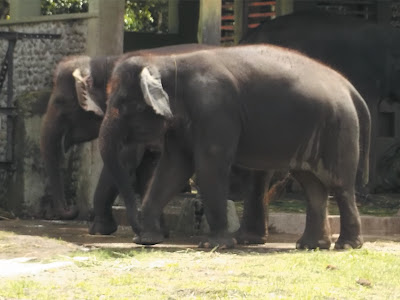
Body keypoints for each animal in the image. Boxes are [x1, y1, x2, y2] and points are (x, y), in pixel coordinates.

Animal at [41, 42, 216, 237]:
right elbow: (148, 167)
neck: (101, 63)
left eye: (61, 102)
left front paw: (99, 230)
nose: (72, 209)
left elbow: (125, 160)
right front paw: (158, 232)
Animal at [99, 44, 372, 250]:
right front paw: (146, 240)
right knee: (311, 184)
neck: (167, 62)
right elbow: (173, 168)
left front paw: (214, 245)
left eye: (126, 105)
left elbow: (209, 165)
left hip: (338, 128)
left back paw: (346, 245)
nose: (133, 227)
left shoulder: (215, 109)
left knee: (338, 184)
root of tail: (349, 87)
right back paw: (311, 246)